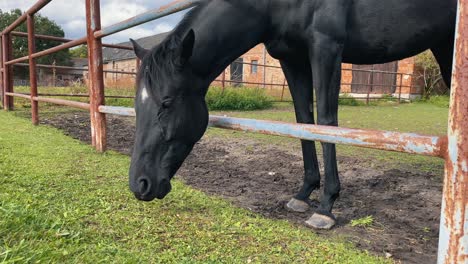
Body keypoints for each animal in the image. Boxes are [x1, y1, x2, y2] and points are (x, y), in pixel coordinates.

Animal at [129, 0, 458, 229]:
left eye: (167, 102)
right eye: (137, 105)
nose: (139, 185)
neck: (274, 6)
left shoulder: (326, 47)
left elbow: (326, 122)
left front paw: (326, 207)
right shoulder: (292, 58)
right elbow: (303, 121)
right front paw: (303, 194)